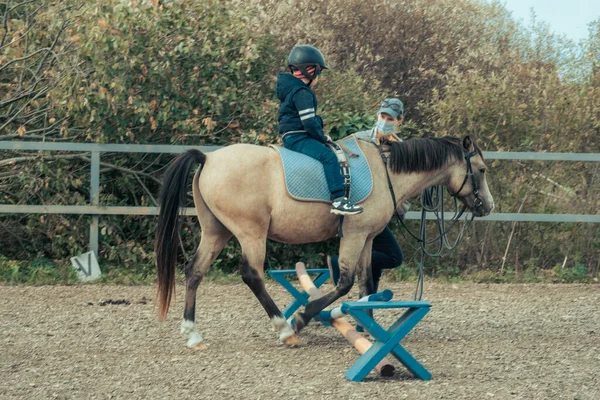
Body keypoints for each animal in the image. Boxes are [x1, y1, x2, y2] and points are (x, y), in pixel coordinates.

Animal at [157, 134, 494, 346]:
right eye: (481, 169)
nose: (487, 206)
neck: (385, 174)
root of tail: (208, 158)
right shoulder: (354, 235)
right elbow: (345, 282)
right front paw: (304, 316)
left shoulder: (367, 238)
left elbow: (366, 284)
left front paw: (365, 325)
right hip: (250, 233)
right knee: (252, 275)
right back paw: (285, 329)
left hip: (216, 231)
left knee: (194, 271)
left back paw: (193, 333)